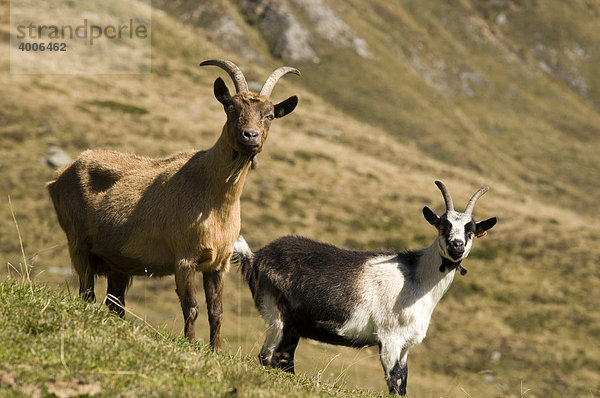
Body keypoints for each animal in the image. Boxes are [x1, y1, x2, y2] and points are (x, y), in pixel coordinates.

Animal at [47, 59, 300, 352]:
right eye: (231, 108)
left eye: (270, 115)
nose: (251, 136)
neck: (213, 195)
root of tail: (59, 176)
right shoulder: (184, 258)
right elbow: (191, 306)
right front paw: (189, 344)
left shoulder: (219, 264)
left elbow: (216, 311)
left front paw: (215, 350)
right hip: (78, 243)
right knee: (86, 292)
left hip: (118, 263)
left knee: (115, 303)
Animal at [232, 181, 494, 394]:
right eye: (443, 225)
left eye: (470, 230)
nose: (457, 245)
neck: (417, 279)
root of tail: (255, 257)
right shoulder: (389, 338)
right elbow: (394, 381)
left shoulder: (406, 344)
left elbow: (404, 380)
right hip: (275, 313)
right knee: (267, 356)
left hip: (294, 325)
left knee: (283, 360)